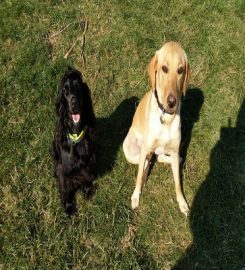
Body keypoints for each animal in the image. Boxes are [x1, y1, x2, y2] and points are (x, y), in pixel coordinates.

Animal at [52, 68, 96, 215]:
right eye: (65, 92)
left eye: (78, 87)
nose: (74, 103)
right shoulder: (63, 170)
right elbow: (65, 188)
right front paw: (69, 206)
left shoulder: (87, 162)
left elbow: (86, 176)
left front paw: (88, 190)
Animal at [123, 41, 190, 216]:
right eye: (164, 68)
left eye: (180, 70)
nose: (172, 102)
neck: (166, 117)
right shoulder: (146, 148)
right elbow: (139, 176)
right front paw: (136, 196)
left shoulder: (174, 149)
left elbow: (178, 183)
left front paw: (182, 202)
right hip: (131, 150)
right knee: (147, 160)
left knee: (158, 157)